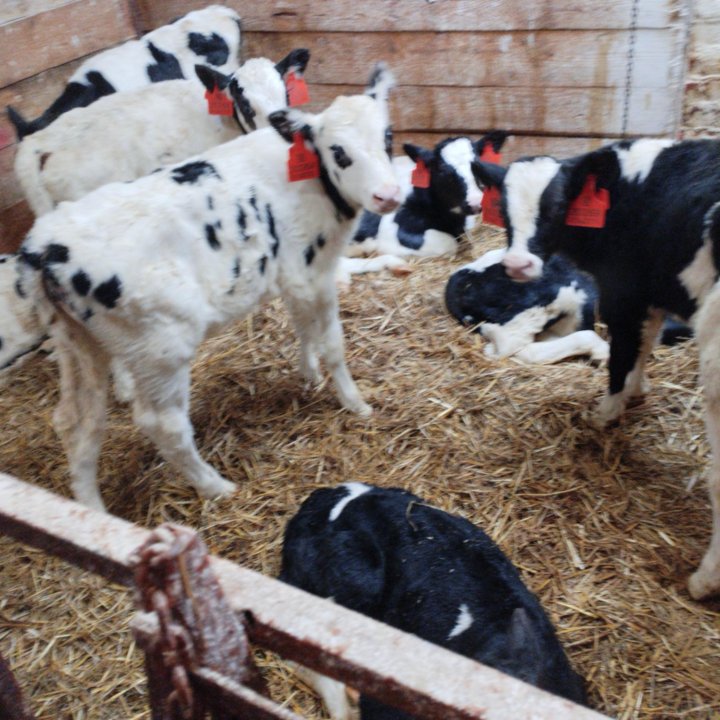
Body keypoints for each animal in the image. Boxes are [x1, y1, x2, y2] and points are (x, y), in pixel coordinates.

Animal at [472, 136, 720, 600]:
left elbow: (623, 352)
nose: (517, 266)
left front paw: (605, 414)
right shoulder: (649, 290)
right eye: (505, 209)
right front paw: (636, 393)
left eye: (556, 207)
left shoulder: (623, 291)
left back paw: (703, 581)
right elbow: (643, 343)